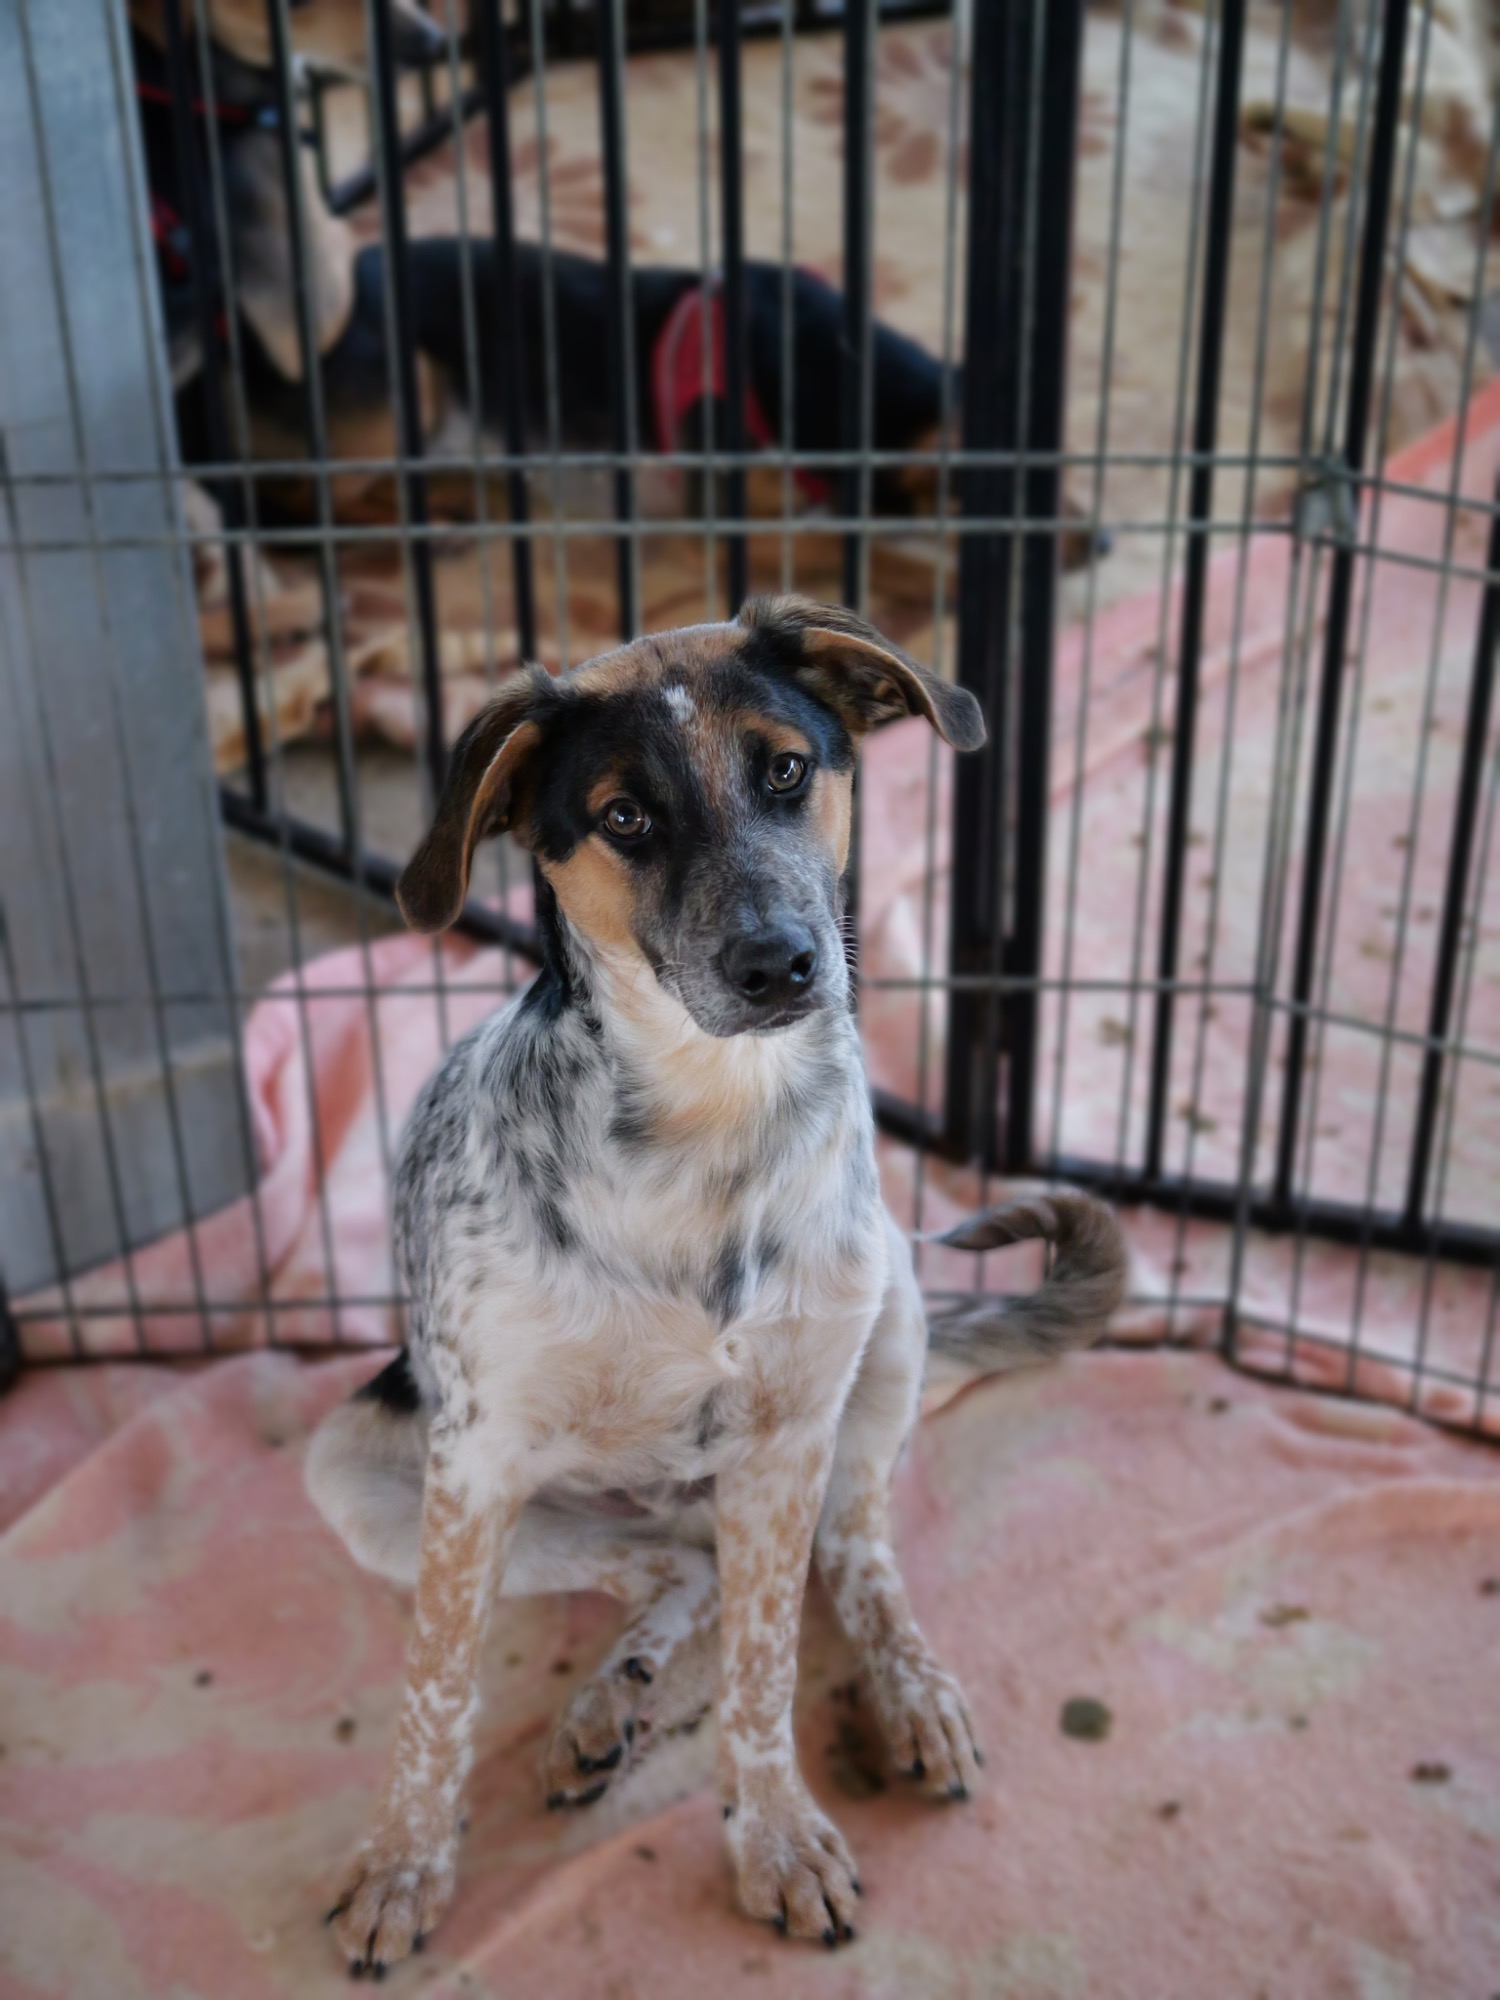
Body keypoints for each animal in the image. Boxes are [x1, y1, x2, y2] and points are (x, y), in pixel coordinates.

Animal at [304, 593, 1128, 1975]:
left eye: (787, 769)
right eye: (624, 815)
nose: (783, 963)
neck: (706, 1126)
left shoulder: (786, 1443)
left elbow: (766, 1667)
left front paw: (776, 1836)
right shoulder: (472, 1464)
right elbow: (437, 1685)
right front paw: (404, 1861)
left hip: (888, 1311)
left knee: (850, 1553)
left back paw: (906, 1692)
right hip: (365, 1474)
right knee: (673, 1571)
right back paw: (609, 1703)